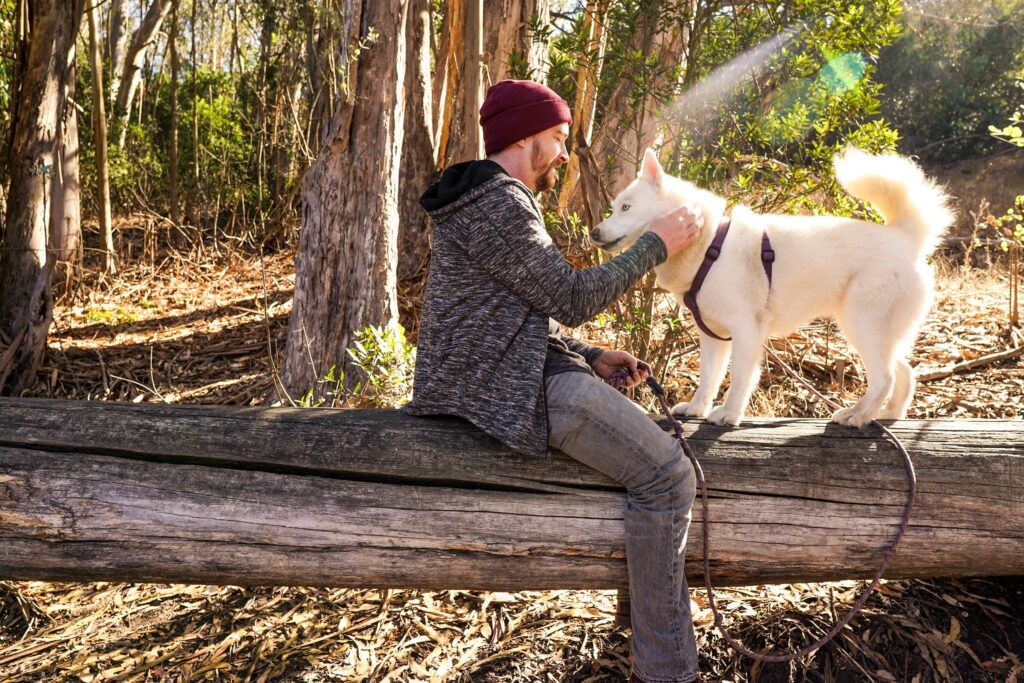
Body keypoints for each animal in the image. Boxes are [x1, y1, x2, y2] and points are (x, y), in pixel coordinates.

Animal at [589, 148, 954, 428]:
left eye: (625, 207)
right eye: (615, 207)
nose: (594, 233)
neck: (710, 246)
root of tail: (904, 236)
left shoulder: (745, 332)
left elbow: (739, 379)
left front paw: (729, 414)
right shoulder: (712, 336)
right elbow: (708, 379)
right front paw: (697, 408)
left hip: (861, 326)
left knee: (885, 378)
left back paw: (858, 416)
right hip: (878, 334)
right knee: (905, 373)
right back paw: (887, 415)